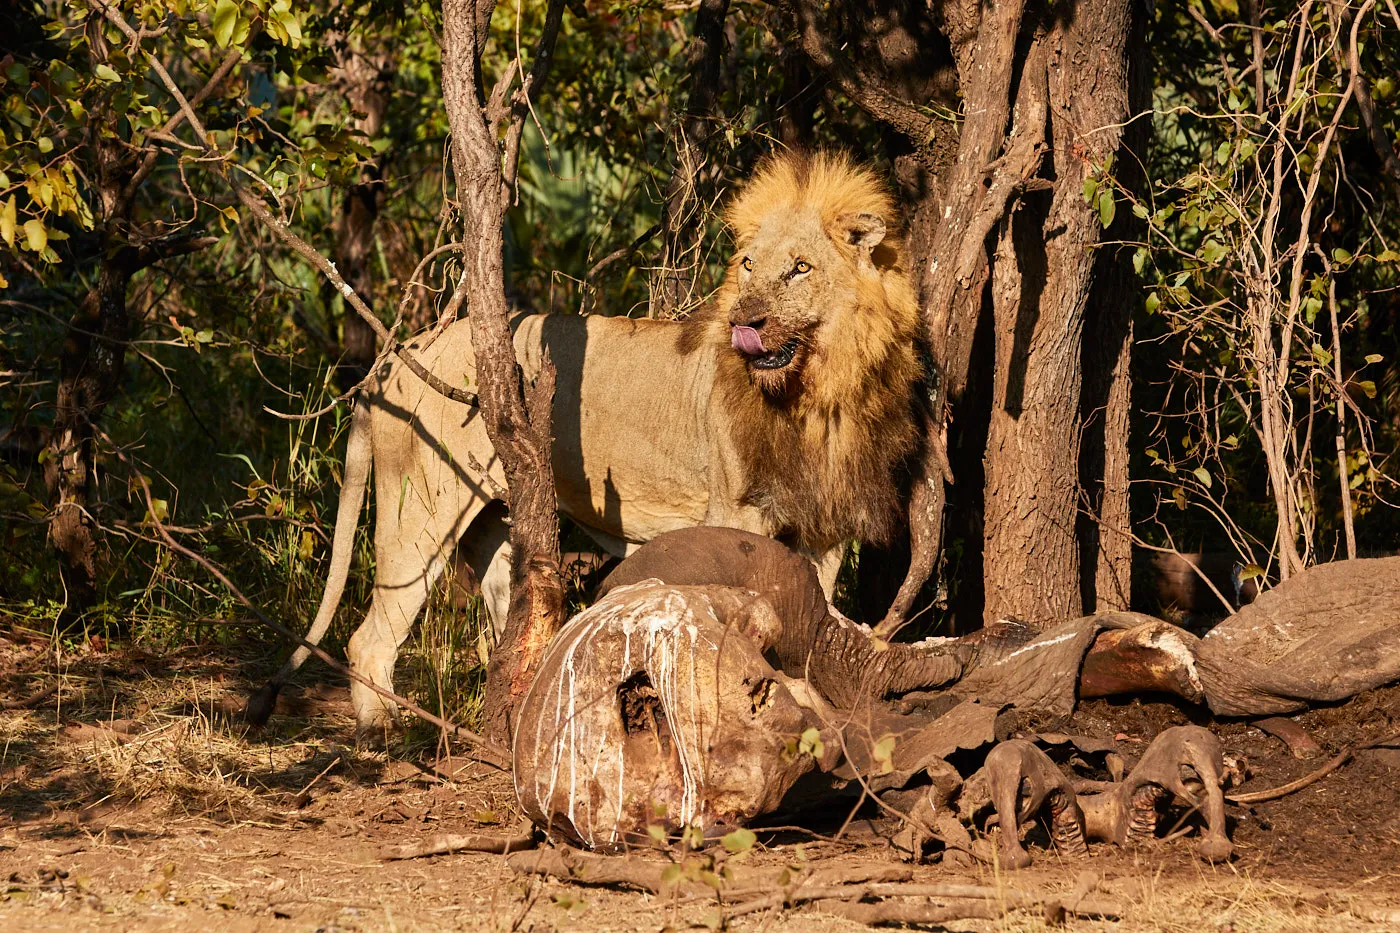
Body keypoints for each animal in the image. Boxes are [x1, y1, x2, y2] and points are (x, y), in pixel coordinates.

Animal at [246, 151, 927, 733]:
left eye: (801, 268)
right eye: (750, 267)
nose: (745, 321)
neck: (816, 389)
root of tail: (396, 357)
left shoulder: (823, 528)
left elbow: (813, 619)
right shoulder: (736, 511)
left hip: (489, 521)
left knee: (506, 620)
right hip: (420, 511)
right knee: (370, 636)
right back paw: (385, 733)